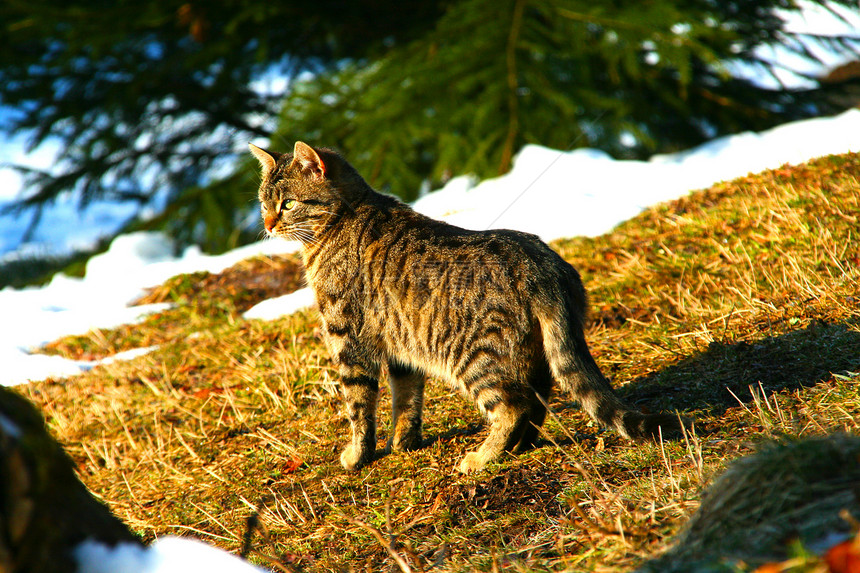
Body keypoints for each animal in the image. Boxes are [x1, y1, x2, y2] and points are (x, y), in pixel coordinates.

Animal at [249, 141, 684, 472]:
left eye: (287, 204)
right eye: (263, 203)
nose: (267, 225)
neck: (342, 219)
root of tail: (543, 266)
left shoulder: (348, 340)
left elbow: (359, 407)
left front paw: (358, 456)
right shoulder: (401, 348)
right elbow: (406, 400)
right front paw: (403, 442)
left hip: (476, 357)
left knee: (513, 406)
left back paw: (483, 458)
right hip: (531, 355)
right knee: (536, 402)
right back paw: (519, 447)